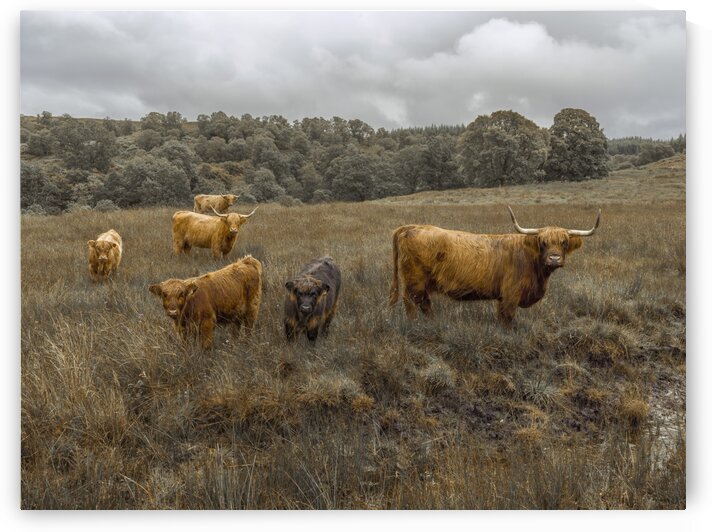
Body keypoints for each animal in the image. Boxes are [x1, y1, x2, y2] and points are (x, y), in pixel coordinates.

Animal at [389, 206, 600, 323]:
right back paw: (415, 324)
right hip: (414, 280)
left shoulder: (502, 297)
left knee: (424, 303)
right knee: (411, 301)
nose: (554, 259)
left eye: (564, 243)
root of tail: (408, 227)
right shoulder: (511, 295)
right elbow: (507, 318)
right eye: (543, 242)